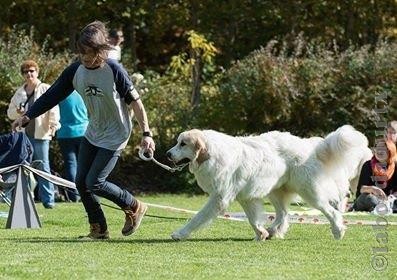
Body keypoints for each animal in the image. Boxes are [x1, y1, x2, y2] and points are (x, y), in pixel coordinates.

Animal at [166, 124, 370, 241]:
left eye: (183, 144)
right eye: (177, 142)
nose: (167, 154)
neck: (212, 153)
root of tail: (309, 146)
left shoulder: (219, 198)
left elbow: (197, 217)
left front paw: (180, 234)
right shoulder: (245, 197)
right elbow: (252, 218)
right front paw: (261, 233)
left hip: (310, 192)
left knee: (331, 211)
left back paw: (338, 231)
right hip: (275, 191)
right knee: (284, 213)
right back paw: (274, 231)